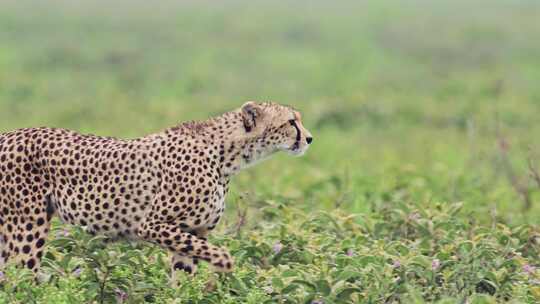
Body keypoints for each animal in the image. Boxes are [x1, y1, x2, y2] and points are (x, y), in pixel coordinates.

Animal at [0, 102, 312, 278]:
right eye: (290, 122)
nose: (309, 138)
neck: (227, 155)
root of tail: (9, 134)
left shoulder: (192, 232)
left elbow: (184, 277)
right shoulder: (152, 225)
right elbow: (221, 255)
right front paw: (222, 271)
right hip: (27, 228)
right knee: (19, 280)